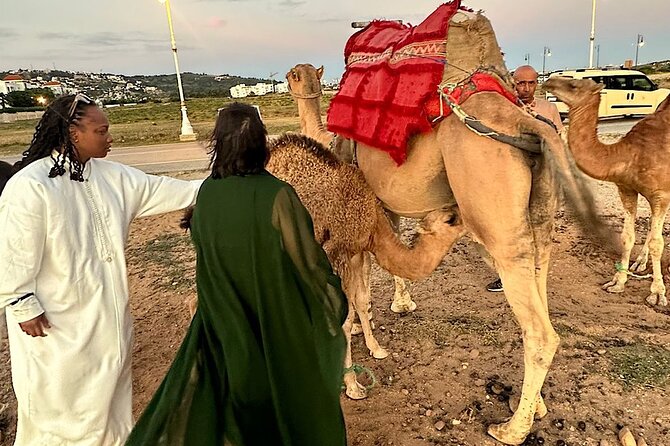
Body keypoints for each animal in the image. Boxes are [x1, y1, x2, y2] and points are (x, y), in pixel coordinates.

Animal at [266, 133, 464, 399]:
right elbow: (344, 319)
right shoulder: (336, 253)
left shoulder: (356, 253)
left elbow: (360, 301)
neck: (373, 221)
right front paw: (352, 386)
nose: (463, 212)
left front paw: (376, 349)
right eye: (449, 219)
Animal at [543, 77, 670, 307]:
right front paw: (617, 283)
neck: (630, 154)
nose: (549, 81)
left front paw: (657, 294)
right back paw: (639, 263)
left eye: (574, 85)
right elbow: (627, 236)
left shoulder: (661, 194)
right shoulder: (627, 189)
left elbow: (658, 243)